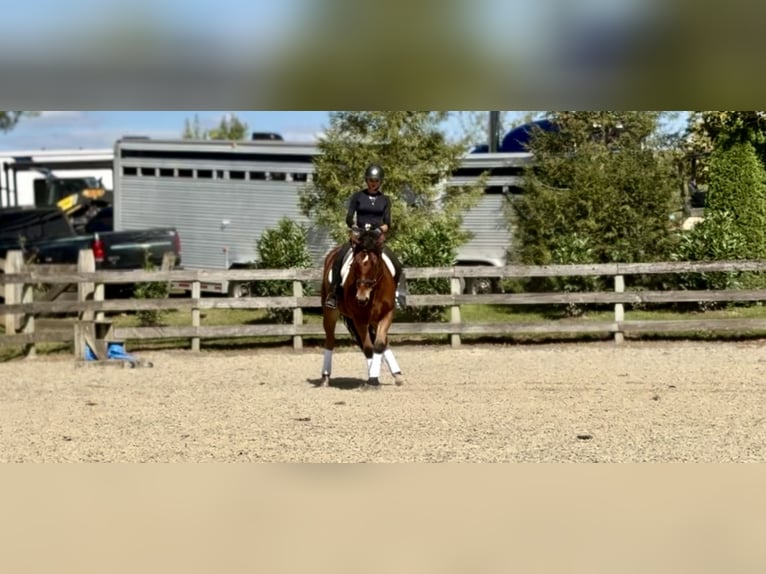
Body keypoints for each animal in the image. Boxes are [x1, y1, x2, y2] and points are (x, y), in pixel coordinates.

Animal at [319, 229, 406, 389]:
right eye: (355, 265)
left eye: (375, 264)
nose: (361, 298)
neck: (374, 293)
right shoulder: (359, 319)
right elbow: (368, 348)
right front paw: (372, 379)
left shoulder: (387, 314)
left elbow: (379, 344)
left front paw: (374, 376)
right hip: (330, 312)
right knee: (330, 341)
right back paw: (325, 377)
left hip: (375, 320)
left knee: (384, 342)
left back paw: (397, 375)